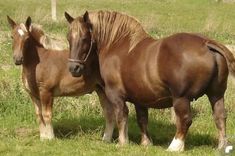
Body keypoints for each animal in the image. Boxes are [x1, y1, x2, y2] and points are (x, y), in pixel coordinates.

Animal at [64, 10, 235, 151]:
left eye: (85, 38)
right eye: (68, 38)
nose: (73, 68)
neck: (117, 45)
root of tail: (206, 43)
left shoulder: (116, 95)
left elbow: (121, 116)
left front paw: (122, 142)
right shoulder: (140, 98)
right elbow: (142, 120)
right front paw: (146, 143)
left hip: (181, 98)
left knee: (185, 120)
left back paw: (174, 147)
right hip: (216, 94)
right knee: (220, 116)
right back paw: (222, 147)